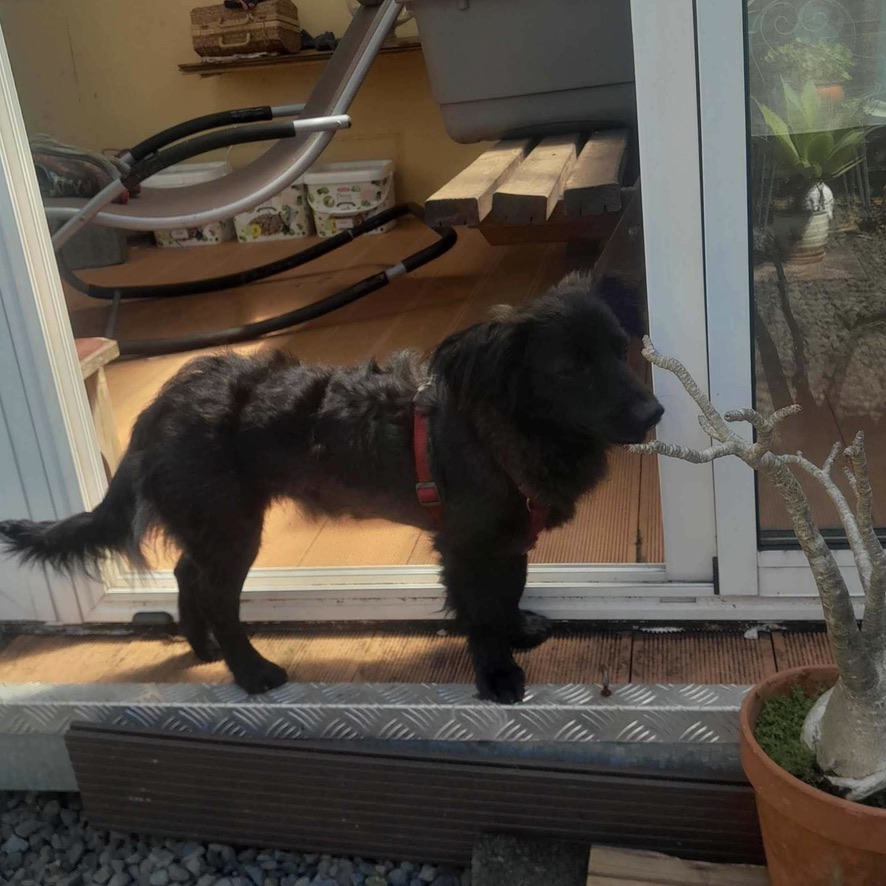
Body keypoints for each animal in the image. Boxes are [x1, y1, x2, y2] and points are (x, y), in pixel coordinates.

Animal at [0, 274, 664, 704]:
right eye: (570, 369)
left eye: (621, 349)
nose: (655, 412)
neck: (505, 428)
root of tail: (162, 404)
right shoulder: (468, 543)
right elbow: (479, 611)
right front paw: (497, 674)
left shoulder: (508, 536)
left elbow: (507, 593)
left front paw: (519, 630)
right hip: (233, 528)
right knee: (217, 596)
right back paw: (251, 671)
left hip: (214, 522)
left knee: (187, 573)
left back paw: (203, 648)